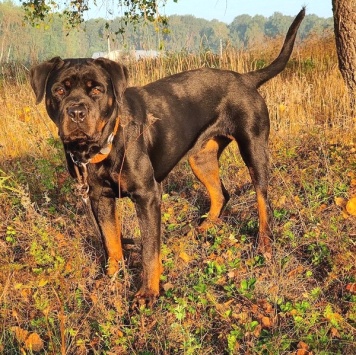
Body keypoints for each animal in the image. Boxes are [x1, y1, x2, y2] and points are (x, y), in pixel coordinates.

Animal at [29, 8, 304, 304]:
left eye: (97, 90)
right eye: (59, 90)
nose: (77, 112)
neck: (103, 144)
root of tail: (245, 78)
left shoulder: (147, 196)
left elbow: (149, 249)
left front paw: (148, 292)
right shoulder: (99, 197)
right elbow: (111, 242)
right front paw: (112, 278)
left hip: (254, 149)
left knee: (263, 201)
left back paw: (264, 244)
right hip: (201, 158)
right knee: (221, 194)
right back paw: (202, 229)